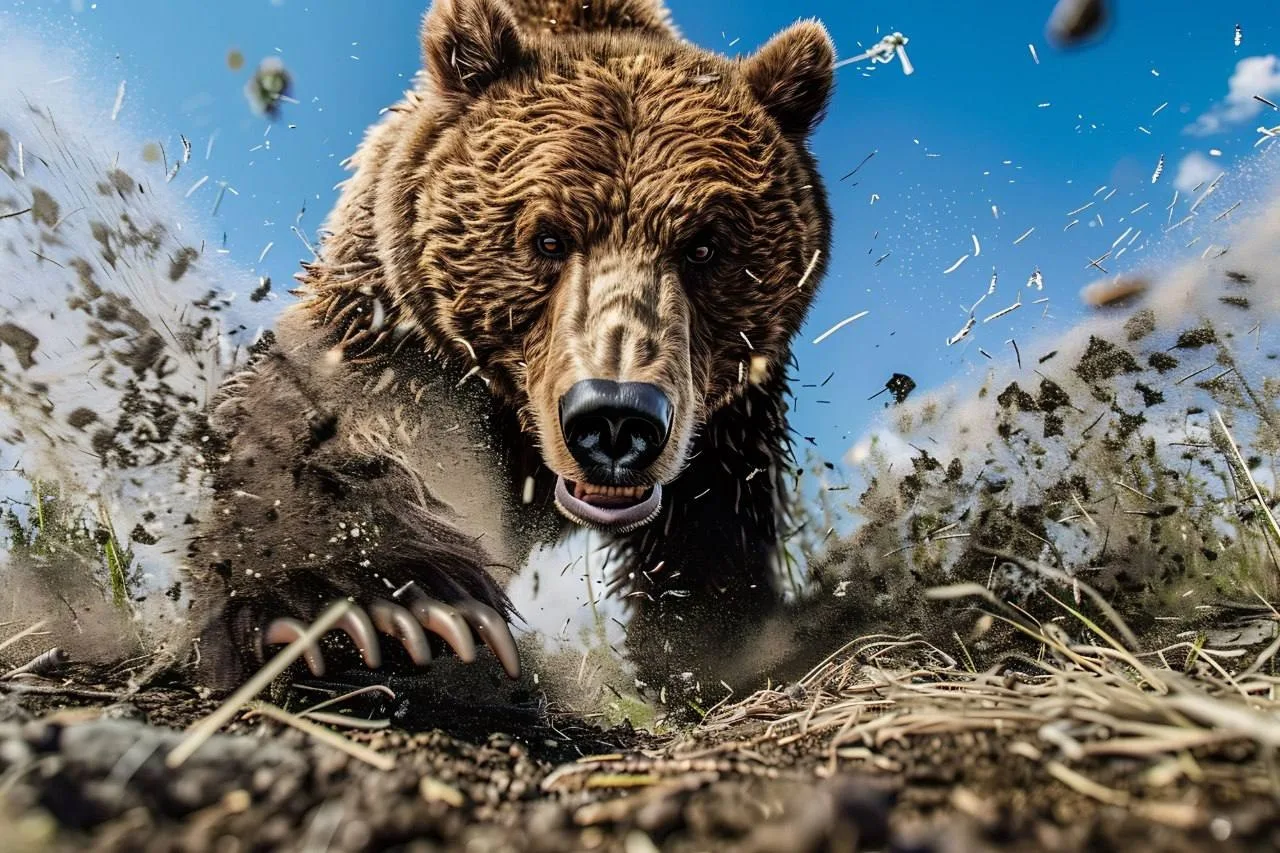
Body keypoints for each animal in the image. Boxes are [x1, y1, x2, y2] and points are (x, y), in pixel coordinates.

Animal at [187, 0, 834, 695]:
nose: (615, 419)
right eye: (547, 238)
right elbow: (322, 415)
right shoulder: (400, 324)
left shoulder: (725, 417)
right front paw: (373, 611)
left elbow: (712, 532)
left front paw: (721, 646)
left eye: (704, 247)